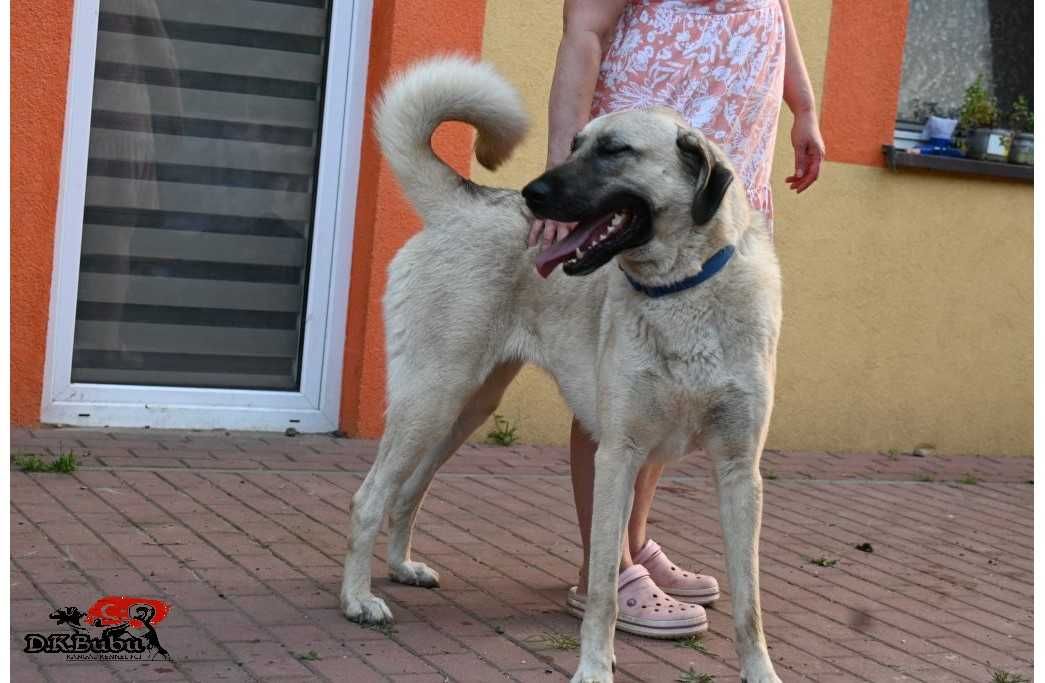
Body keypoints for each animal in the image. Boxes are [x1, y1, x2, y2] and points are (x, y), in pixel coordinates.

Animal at [342, 59, 785, 683]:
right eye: (573, 144)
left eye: (614, 150)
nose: (533, 194)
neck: (683, 290)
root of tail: (463, 204)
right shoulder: (617, 457)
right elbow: (600, 588)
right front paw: (595, 667)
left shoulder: (740, 471)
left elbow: (751, 602)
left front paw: (760, 671)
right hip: (431, 396)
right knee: (369, 495)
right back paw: (357, 599)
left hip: (462, 408)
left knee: (408, 489)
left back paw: (402, 567)